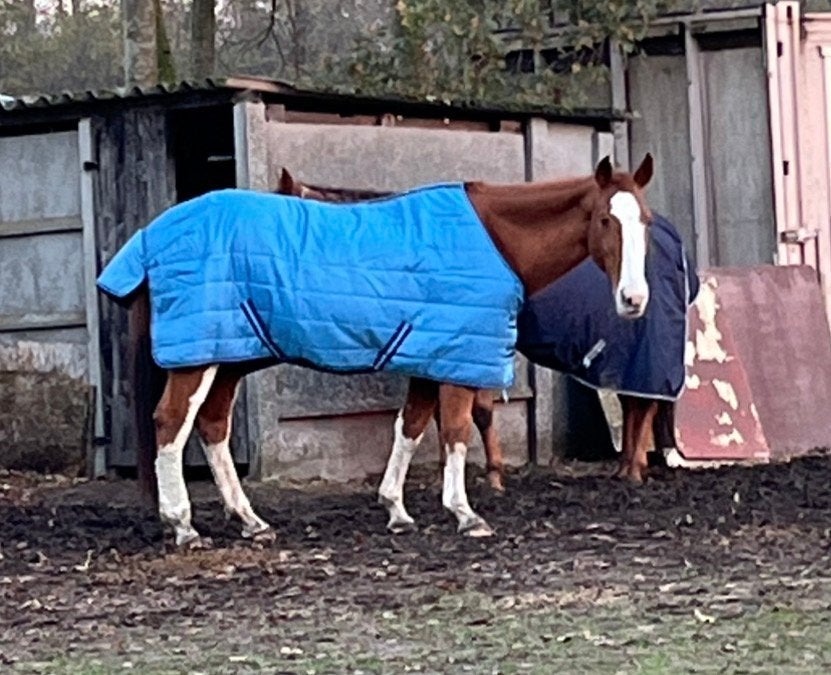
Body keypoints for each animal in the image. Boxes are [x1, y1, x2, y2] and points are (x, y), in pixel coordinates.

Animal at [276, 169, 688, 491]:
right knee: (634, 401)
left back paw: (632, 468)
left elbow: (476, 412)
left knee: (643, 401)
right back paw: (627, 465)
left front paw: (488, 476)